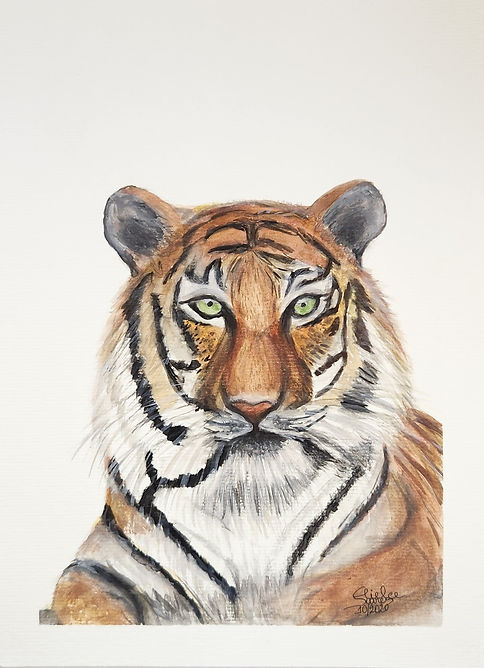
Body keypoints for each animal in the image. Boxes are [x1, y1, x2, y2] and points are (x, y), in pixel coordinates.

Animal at [43, 179, 442, 625]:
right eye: (209, 306)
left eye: (304, 306)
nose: (255, 407)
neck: (250, 498)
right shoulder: (94, 570)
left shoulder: (399, 563)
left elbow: (314, 600)